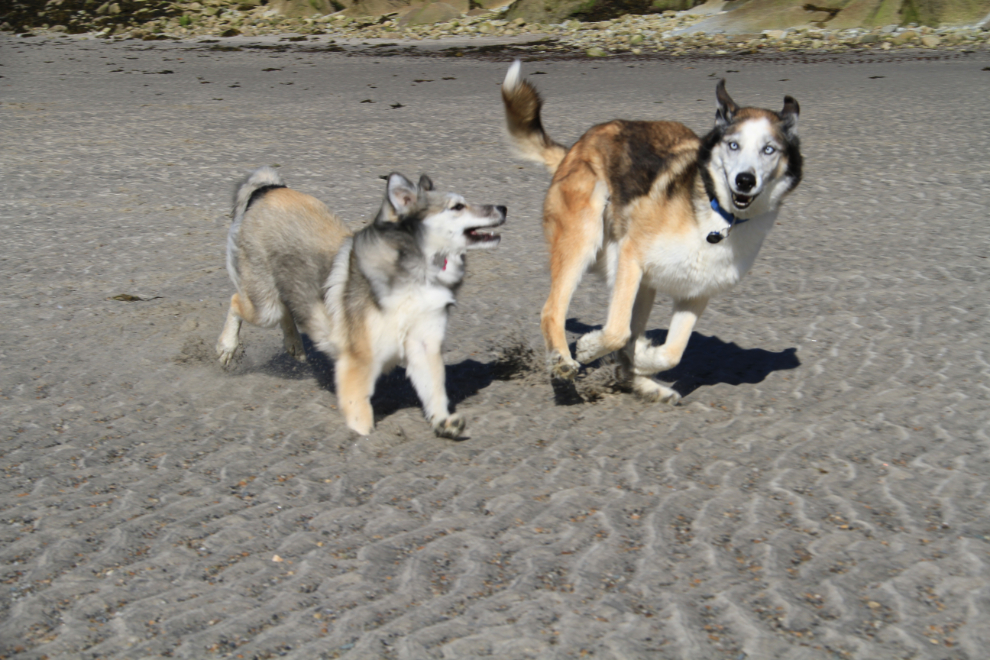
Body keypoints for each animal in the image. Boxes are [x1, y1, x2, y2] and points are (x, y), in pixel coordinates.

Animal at [220, 169, 508, 438]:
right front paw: (363, 436)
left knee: (286, 309)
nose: (504, 207)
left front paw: (443, 423)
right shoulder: (358, 363)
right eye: (457, 207)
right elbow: (361, 419)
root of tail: (268, 189)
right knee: (237, 302)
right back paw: (226, 347)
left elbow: (435, 392)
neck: (416, 274)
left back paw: (293, 344)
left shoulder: (424, 347)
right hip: (264, 307)